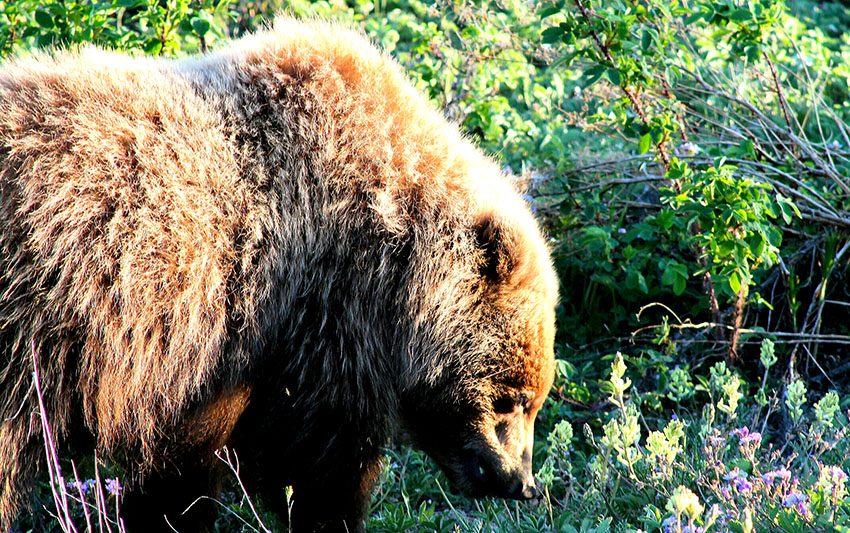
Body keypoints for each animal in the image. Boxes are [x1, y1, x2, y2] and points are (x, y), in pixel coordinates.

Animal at [0, 16, 560, 532]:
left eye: (533, 399)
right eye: (513, 399)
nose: (521, 483)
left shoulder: (223, 358)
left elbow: (187, 457)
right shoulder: (318, 306)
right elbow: (317, 454)